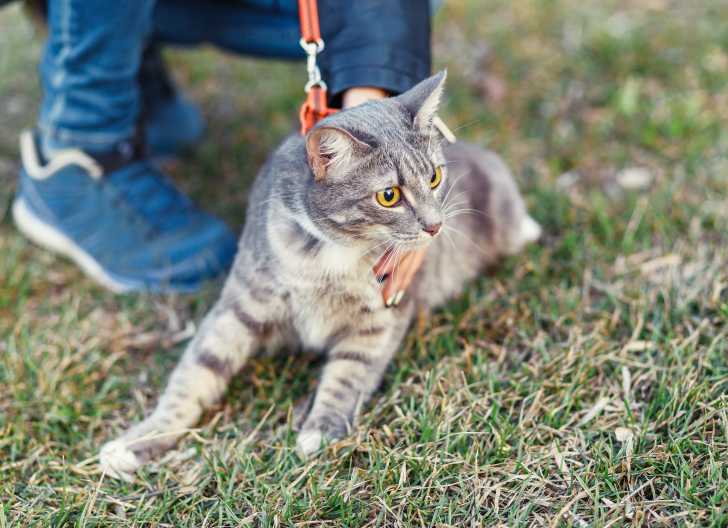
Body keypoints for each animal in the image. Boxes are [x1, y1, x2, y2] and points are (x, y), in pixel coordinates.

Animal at [99, 72, 540, 480]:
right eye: (389, 196)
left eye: (434, 177)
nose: (435, 226)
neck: (331, 258)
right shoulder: (239, 306)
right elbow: (195, 373)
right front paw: (142, 439)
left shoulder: (378, 321)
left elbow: (348, 373)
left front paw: (320, 429)